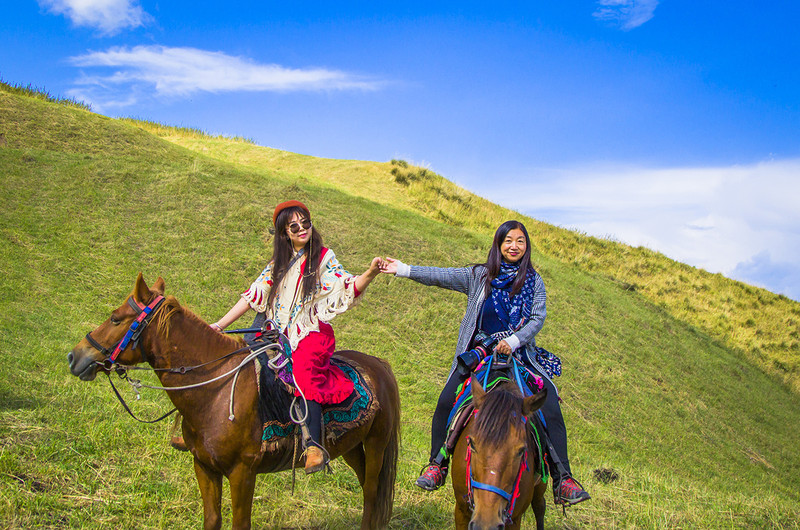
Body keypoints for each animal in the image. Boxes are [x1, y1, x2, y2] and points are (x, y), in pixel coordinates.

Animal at [67, 274, 398, 524]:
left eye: (115, 319)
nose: (75, 356)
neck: (216, 390)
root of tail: (379, 364)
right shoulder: (204, 466)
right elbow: (212, 519)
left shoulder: (242, 473)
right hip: (351, 446)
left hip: (377, 444)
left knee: (371, 493)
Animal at [450, 376, 552, 528]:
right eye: (471, 443)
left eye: (522, 450)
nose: (486, 524)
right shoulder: (461, 510)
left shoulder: (515, 519)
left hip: (541, 482)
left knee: (539, 505)